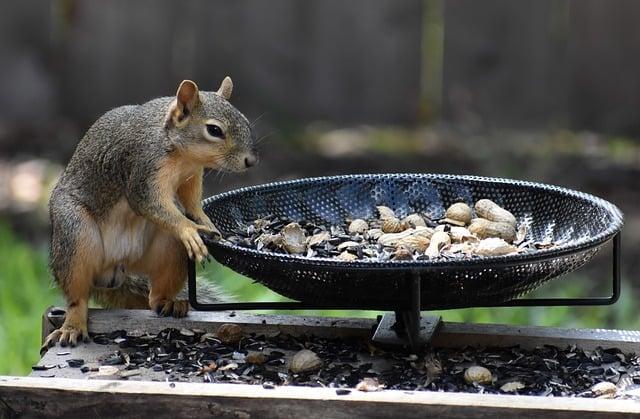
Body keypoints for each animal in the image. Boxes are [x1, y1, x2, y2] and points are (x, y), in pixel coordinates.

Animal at [40, 78, 258, 352]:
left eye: (246, 122)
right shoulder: (144, 167)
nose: (250, 161)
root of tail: (116, 266)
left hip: (168, 249)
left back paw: (169, 302)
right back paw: (72, 326)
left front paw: (207, 224)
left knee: (155, 296)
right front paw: (189, 229)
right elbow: (147, 201)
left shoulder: (191, 177)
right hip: (74, 234)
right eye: (214, 130)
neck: (182, 154)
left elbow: (192, 205)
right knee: (77, 296)